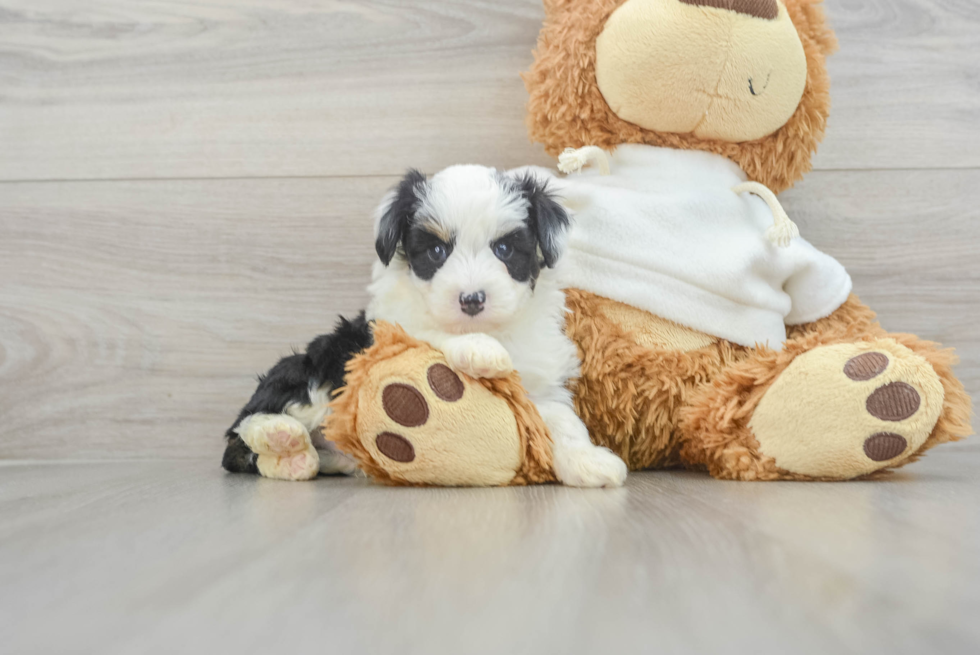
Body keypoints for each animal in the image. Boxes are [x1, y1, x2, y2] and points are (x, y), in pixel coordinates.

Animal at [224, 167, 628, 490]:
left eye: (504, 249)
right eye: (437, 252)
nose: (472, 299)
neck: (489, 327)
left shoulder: (539, 386)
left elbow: (564, 423)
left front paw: (589, 461)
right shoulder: (389, 327)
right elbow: (427, 332)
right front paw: (480, 349)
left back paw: (321, 458)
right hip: (314, 367)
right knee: (243, 432)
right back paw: (280, 437)